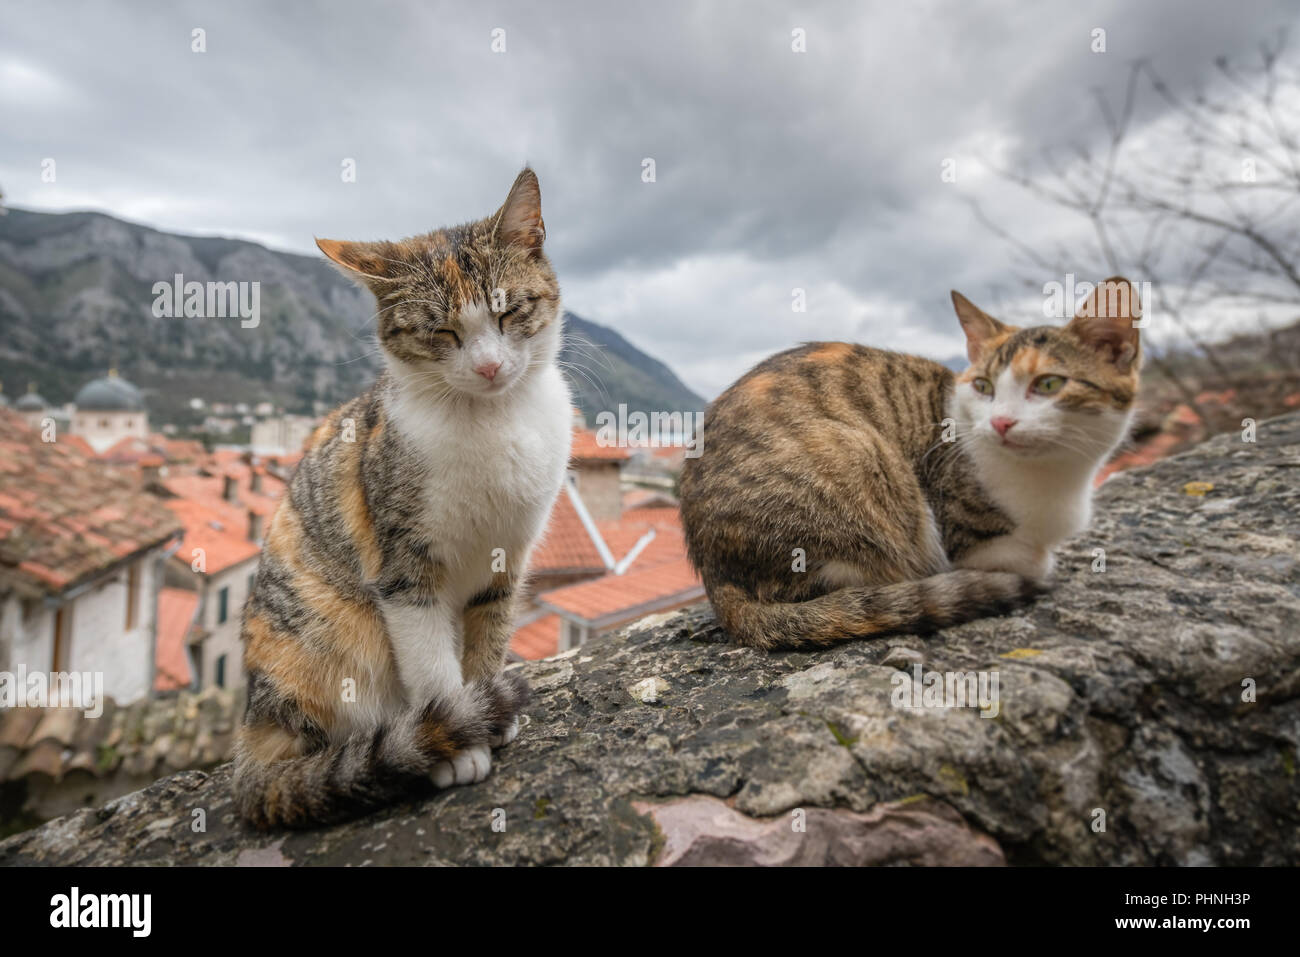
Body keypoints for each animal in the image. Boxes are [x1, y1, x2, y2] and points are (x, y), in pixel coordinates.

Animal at [236, 167, 572, 826]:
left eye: (509, 311)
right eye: (442, 331)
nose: (489, 367)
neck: (490, 421)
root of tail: (253, 746)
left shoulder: (507, 558)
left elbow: (489, 637)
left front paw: (487, 708)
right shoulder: (403, 567)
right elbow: (432, 663)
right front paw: (454, 740)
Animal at [676, 276, 1144, 650]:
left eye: (1048, 384)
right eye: (984, 386)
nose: (1001, 422)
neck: (1054, 479)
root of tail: (717, 582)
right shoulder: (965, 532)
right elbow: (1020, 557)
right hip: (855, 457)